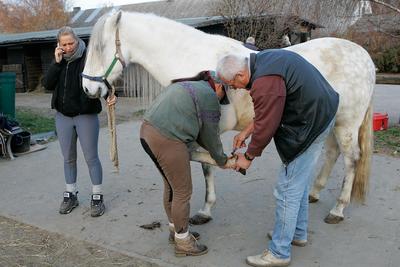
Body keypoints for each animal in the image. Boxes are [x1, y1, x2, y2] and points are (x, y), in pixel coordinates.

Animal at [81, 12, 376, 226]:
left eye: (101, 47)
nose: (87, 88)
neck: (191, 60)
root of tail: (363, 56)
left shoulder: (206, 129)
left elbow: (206, 163)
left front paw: (206, 207)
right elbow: (207, 165)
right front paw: (206, 209)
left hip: (347, 123)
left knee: (351, 159)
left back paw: (338, 209)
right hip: (333, 123)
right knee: (332, 152)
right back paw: (314, 193)